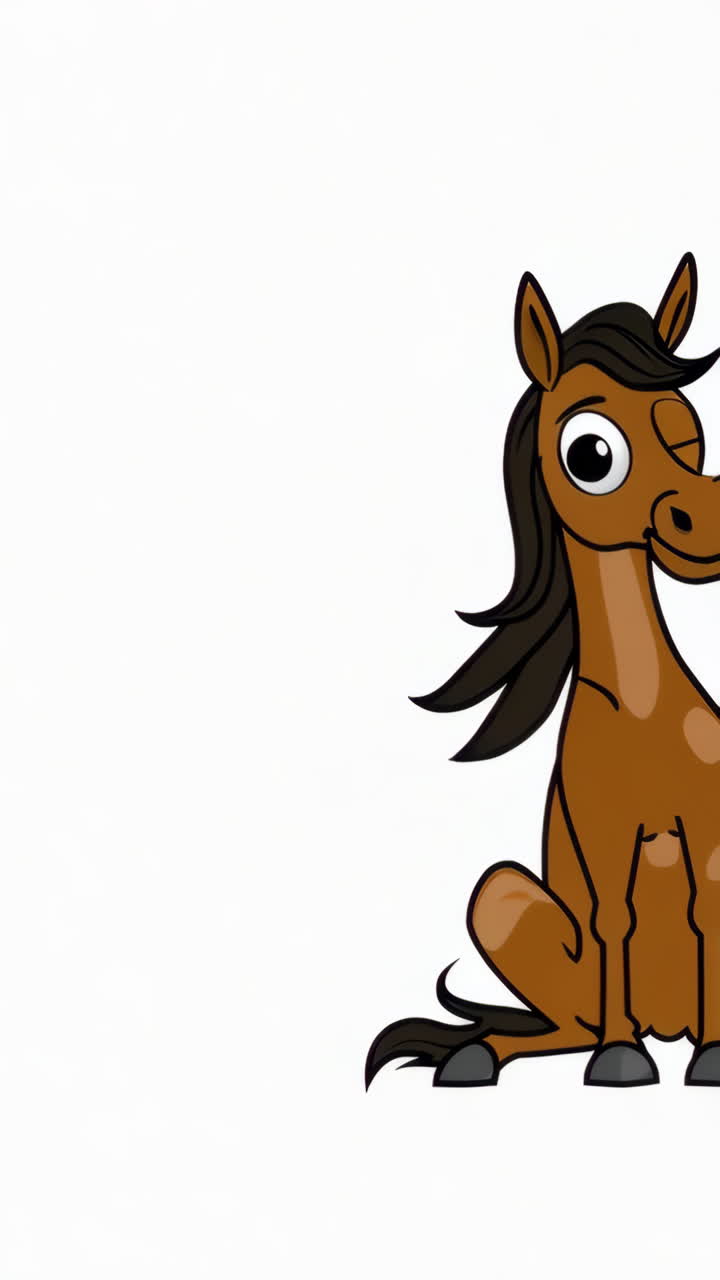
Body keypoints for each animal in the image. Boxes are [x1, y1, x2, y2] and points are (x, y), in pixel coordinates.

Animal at [365, 254, 720, 1088]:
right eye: (591, 453)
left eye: (688, 428)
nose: (707, 521)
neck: (644, 706)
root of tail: (670, 1018)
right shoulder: (600, 833)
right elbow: (613, 917)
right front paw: (621, 1059)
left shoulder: (710, 825)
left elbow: (707, 913)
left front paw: (716, 1056)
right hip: (501, 900)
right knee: (561, 1025)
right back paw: (480, 1052)